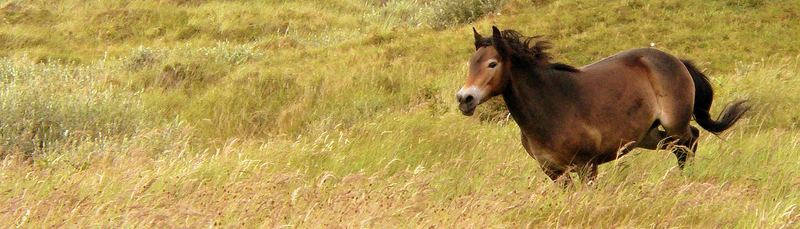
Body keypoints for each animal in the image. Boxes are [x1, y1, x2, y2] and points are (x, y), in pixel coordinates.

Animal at [456, 26, 752, 184]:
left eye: (492, 64)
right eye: (471, 63)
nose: (464, 99)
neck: (550, 107)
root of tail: (675, 60)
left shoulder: (587, 166)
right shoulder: (554, 172)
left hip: (674, 124)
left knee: (689, 142)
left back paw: (686, 179)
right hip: (648, 136)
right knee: (684, 144)